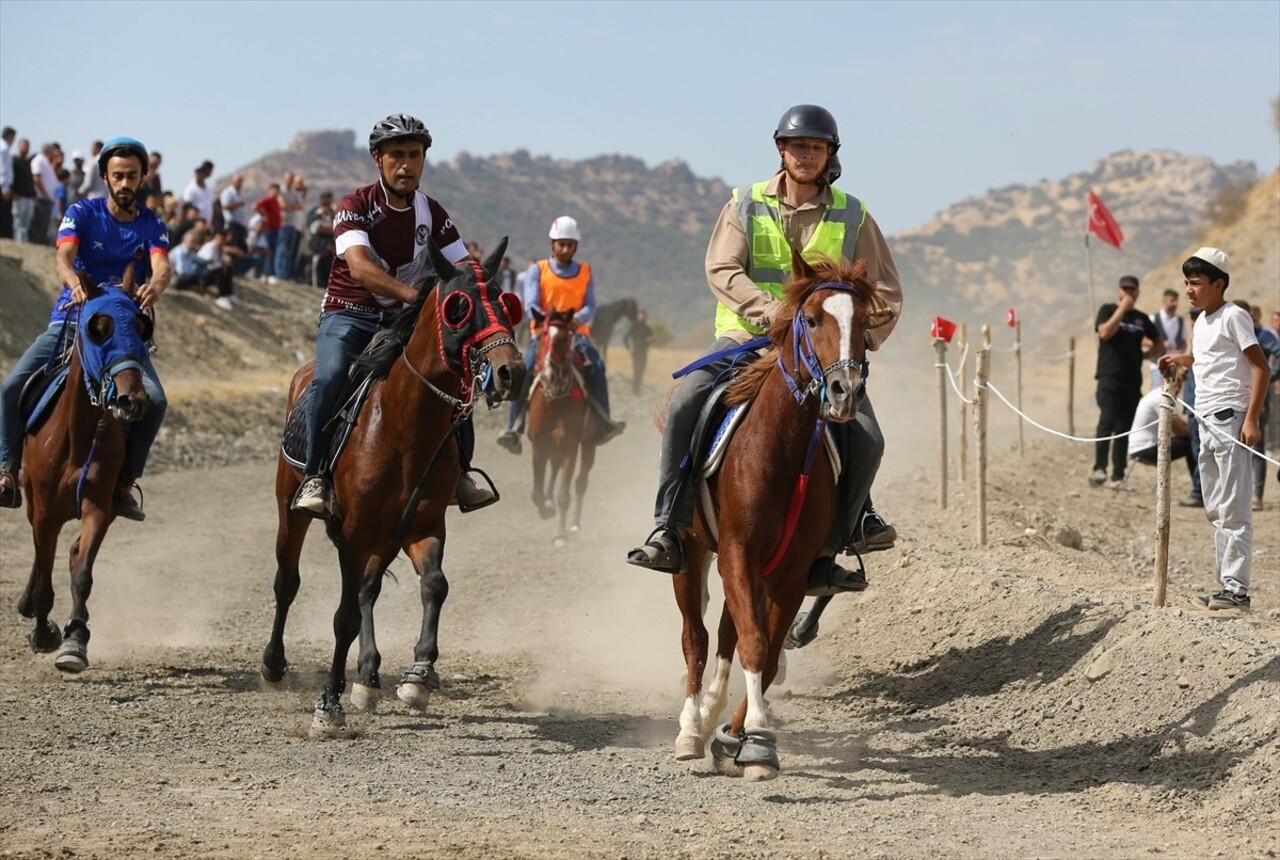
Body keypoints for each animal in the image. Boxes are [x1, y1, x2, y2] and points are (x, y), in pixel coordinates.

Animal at [17, 272, 154, 675]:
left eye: (141, 327)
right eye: (99, 329)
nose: (132, 400)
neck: (77, 435)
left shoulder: (97, 504)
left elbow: (82, 574)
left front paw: (75, 640)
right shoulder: (45, 513)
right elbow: (45, 574)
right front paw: (44, 631)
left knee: (74, 553)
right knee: (41, 558)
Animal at [262, 238, 527, 737]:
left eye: (507, 303)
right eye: (459, 307)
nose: (511, 373)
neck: (404, 426)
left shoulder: (422, 524)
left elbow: (434, 586)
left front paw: (417, 675)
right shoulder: (353, 534)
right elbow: (343, 617)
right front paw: (329, 705)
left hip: (387, 535)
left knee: (369, 589)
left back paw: (368, 676)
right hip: (291, 510)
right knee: (288, 582)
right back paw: (273, 664)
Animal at [522, 305, 596, 540]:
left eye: (564, 338)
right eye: (540, 336)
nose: (549, 374)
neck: (554, 400)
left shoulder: (571, 446)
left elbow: (565, 494)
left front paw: (560, 535)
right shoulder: (538, 445)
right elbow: (536, 492)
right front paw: (545, 509)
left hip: (588, 444)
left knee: (581, 482)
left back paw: (574, 524)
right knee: (554, 469)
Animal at [665, 250, 885, 778]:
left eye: (865, 322)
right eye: (812, 319)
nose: (845, 391)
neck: (781, 453)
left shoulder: (789, 572)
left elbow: (762, 653)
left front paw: (741, 738)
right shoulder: (737, 553)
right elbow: (753, 644)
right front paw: (754, 740)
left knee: (727, 634)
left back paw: (712, 716)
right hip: (691, 555)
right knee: (695, 637)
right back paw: (690, 728)